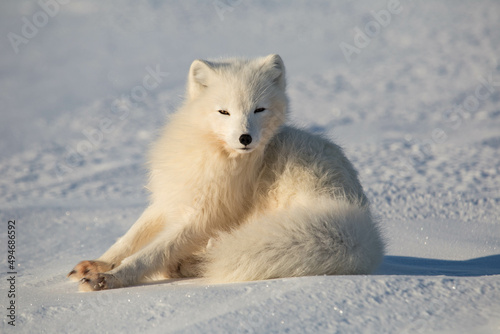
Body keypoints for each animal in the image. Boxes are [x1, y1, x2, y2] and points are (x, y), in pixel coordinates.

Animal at [67, 53, 382, 290]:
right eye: (224, 112)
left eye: (259, 110)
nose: (245, 138)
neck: (210, 152)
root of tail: (359, 220)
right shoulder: (171, 198)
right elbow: (130, 237)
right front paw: (98, 264)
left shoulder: (205, 215)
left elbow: (153, 252)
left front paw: (110, 278)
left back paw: (186, 265)